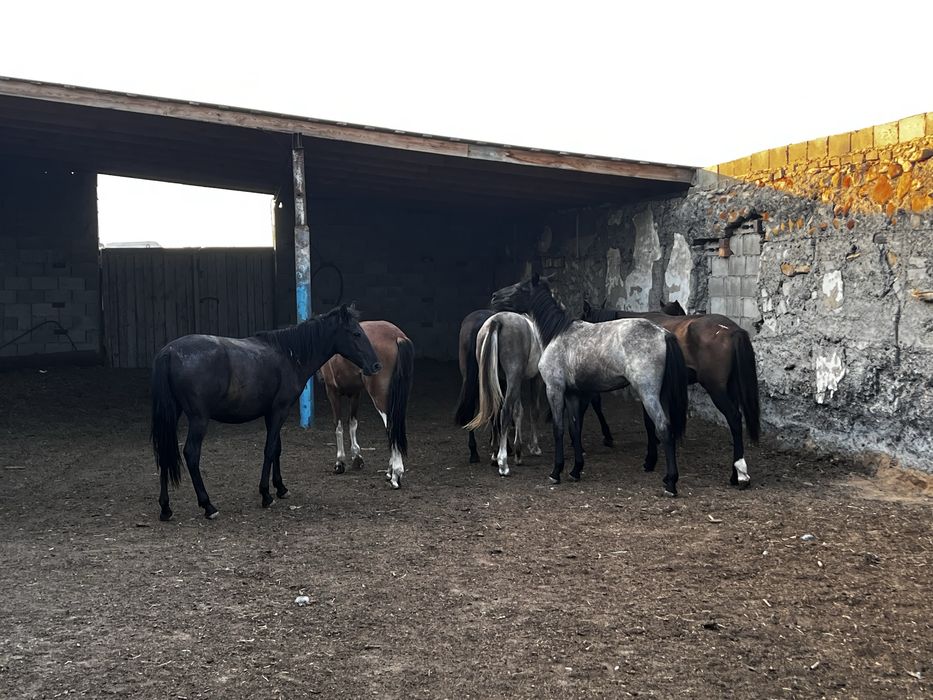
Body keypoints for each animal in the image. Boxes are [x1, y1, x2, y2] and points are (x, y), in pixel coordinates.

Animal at [150, 304, 381, 521]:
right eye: (356, 333)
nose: (376, 365)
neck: (289, 354)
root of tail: (169, 352)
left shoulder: (272, 414)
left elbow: (276, 448)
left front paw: (280, 488)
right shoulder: (279, 411)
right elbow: (269, 450)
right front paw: (266, 495)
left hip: (172, 415)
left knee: (164, 453)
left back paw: (165, 508)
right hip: (199, 419)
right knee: (191, 454)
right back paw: (208, 506)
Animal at [320, 321, 414, 489]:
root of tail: (397, 336)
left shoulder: (331, 391)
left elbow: (338, 426)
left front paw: (340, 463)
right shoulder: (356, 393)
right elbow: (353, 423)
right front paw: (357, 457)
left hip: (380, 398)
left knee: (390, 427)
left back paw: (396, 474)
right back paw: (390, 471)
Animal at [465, 311, 545, 476]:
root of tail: (496, 321)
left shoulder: (514, 381)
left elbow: (518, 411)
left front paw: (519, 452)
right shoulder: (535, 378)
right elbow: (533, 411)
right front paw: (534, 447)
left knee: (495, 412)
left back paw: (495, 456)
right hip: (513, 378)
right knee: (505, 411)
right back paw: (503, 463)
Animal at [491, 274, 688, 496]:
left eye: (521, 288)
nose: (494, 296)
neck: (556, 334)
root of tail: (664, 334)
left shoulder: (555, 390)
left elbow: (558, 428)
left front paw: (556, 472)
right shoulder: (572, 394)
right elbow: (575, 428)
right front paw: (576, 470)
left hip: (649, 394)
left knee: (663, 428)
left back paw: (671, 484)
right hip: (661, 395)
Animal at [582, 299, 759, 488]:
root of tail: (732, 330)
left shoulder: (647, 390)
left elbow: (649, 423)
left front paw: (650, 460)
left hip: (716, 389)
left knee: (734, 418)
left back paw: (740, 474)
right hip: (730, 388)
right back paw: (735, 473)